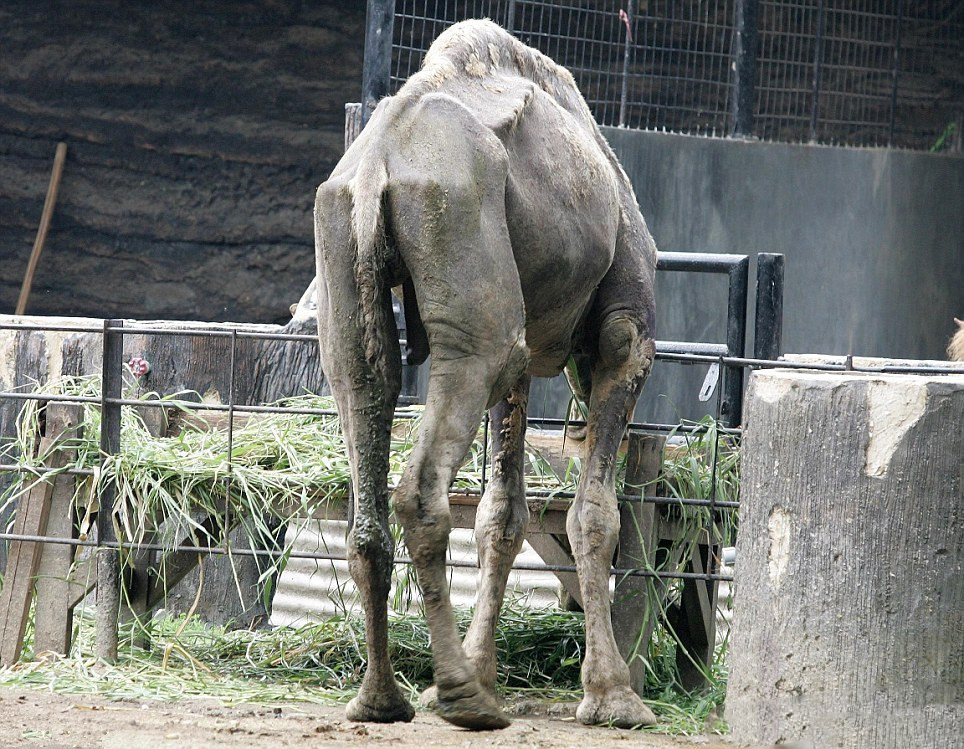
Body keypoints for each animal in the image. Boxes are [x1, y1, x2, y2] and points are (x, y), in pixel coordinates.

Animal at [312, 19, 660, 732]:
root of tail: (376, 168)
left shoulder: (524, 366)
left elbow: (501, 515)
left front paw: (488, 671)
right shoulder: (625, 338)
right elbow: (594, 516)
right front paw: (613, 698)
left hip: (349, 271)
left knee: (365, 407)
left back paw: (383, 698)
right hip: (465, 258)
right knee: (419, 490)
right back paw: (461, 700)